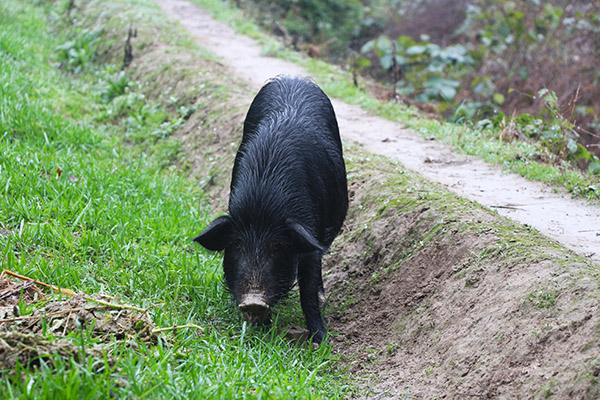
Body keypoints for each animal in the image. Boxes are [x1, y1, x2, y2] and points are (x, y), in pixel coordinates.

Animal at [195, 76, 350, 344]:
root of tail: (292, 78)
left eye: (276, 247)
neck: (263, 206)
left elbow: (307, 288)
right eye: (237, 245)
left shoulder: (310, 232)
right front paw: (261, 329)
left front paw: (319, 340)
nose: (253, 301)